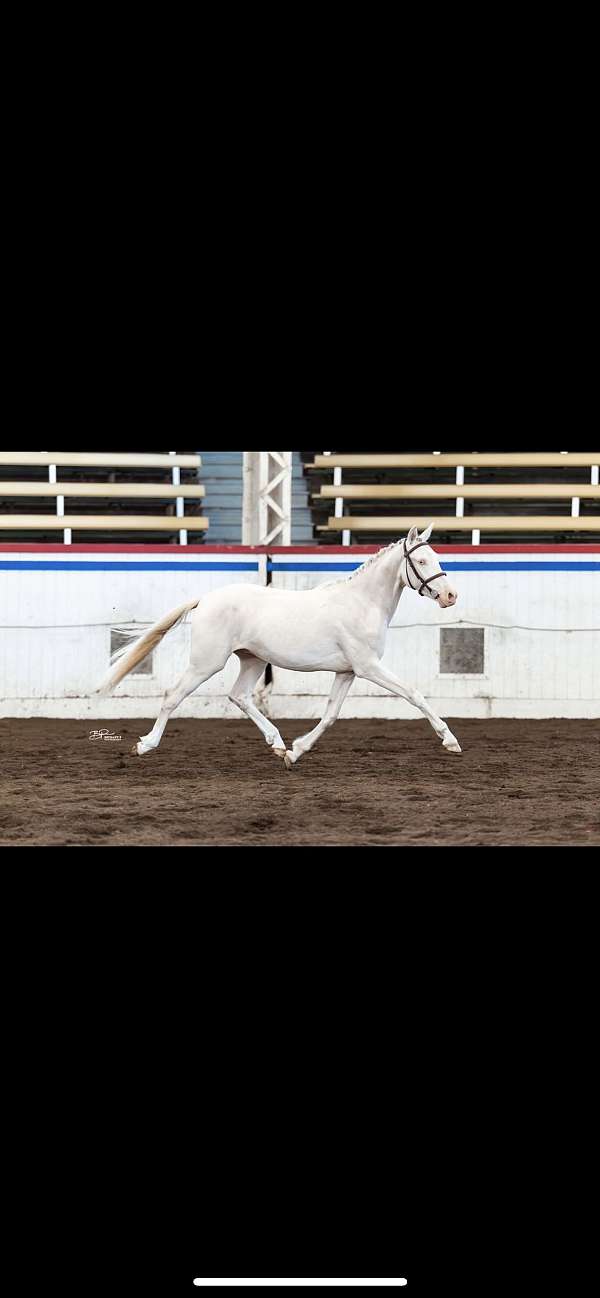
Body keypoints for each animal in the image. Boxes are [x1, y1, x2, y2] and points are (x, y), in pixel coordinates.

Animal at [95, 524, 462, 765]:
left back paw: (277, 742)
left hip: (253, 660)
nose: (449, 596)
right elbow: (414, 694)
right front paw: (451, 741)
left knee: (239, 696)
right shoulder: (368, 666)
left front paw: (295, 752)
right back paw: (145, 745)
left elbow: (330, 715)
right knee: (174, 695)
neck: (361, 603)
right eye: (423, 561)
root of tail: (206, 599)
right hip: (206, 663)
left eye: (436, 557)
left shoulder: (347, 671)